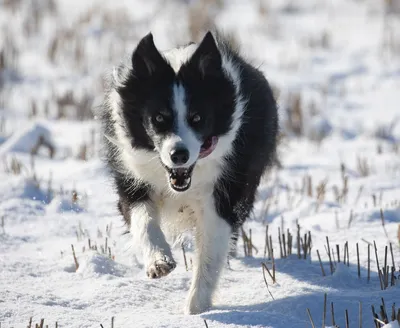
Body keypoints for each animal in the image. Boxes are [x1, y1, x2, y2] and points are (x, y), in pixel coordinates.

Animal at [100, 32, 278, 314]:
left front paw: (195, 308)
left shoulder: (224, 195)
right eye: (158, 118)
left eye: (197, 118)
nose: (179, 155)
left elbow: (210, 253)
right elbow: (143, 222)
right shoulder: (132, 182)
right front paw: (159, 262)